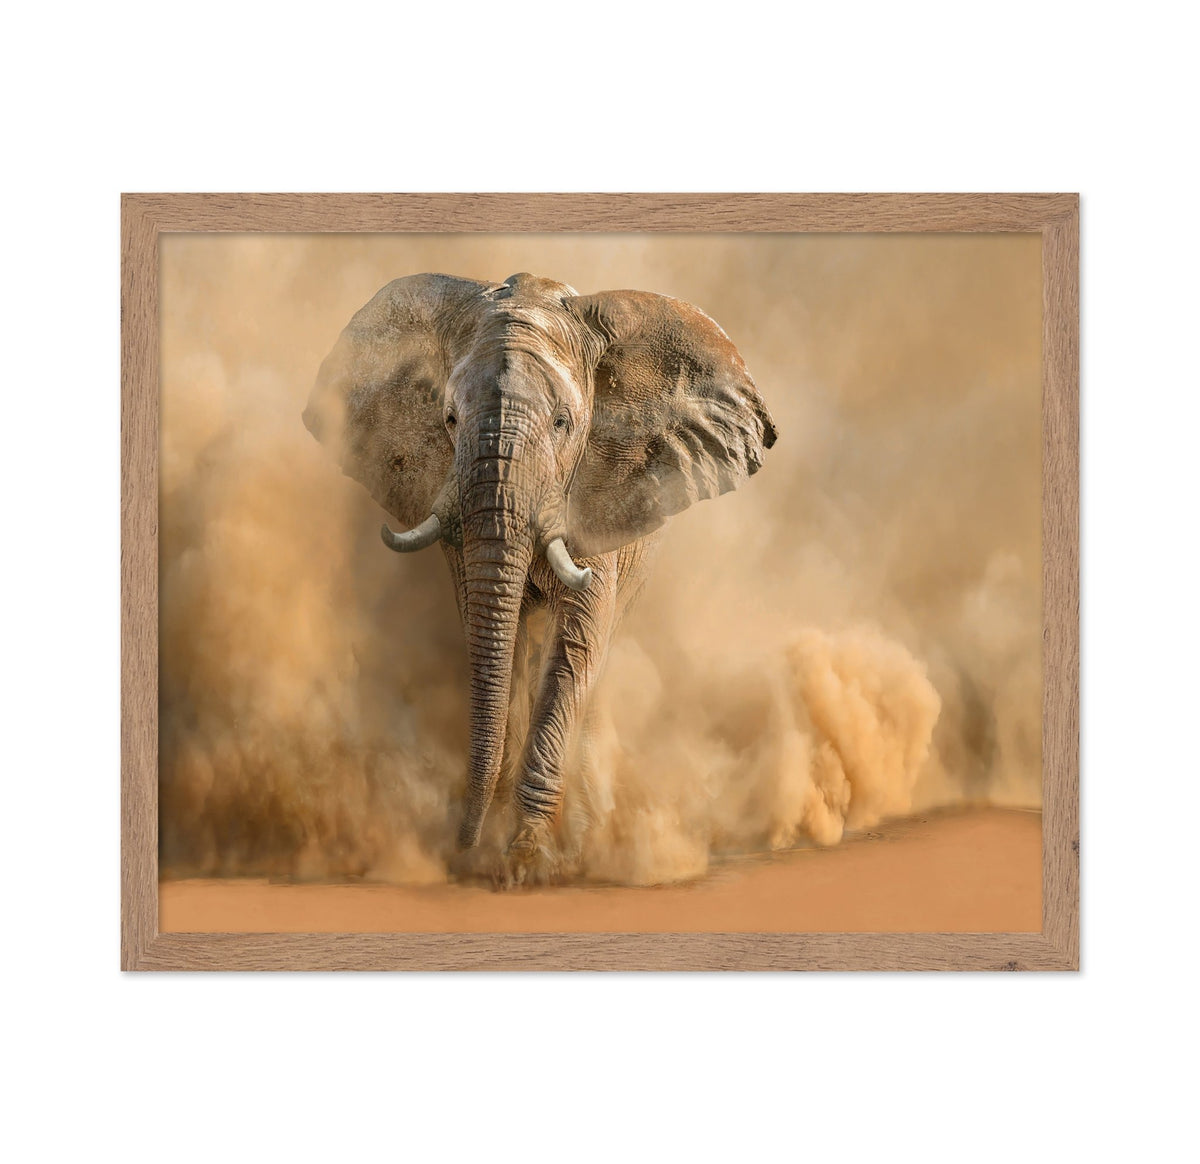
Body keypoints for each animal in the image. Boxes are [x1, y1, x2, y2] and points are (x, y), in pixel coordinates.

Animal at [302, 271, 777, 884]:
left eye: (562, 424)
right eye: (449, 419)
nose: (458, 849)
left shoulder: (594, 493)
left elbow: (574, 649)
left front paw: (526, 862)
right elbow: (498, 642)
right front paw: (496, 852)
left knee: (596, 661)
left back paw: (586, 839)